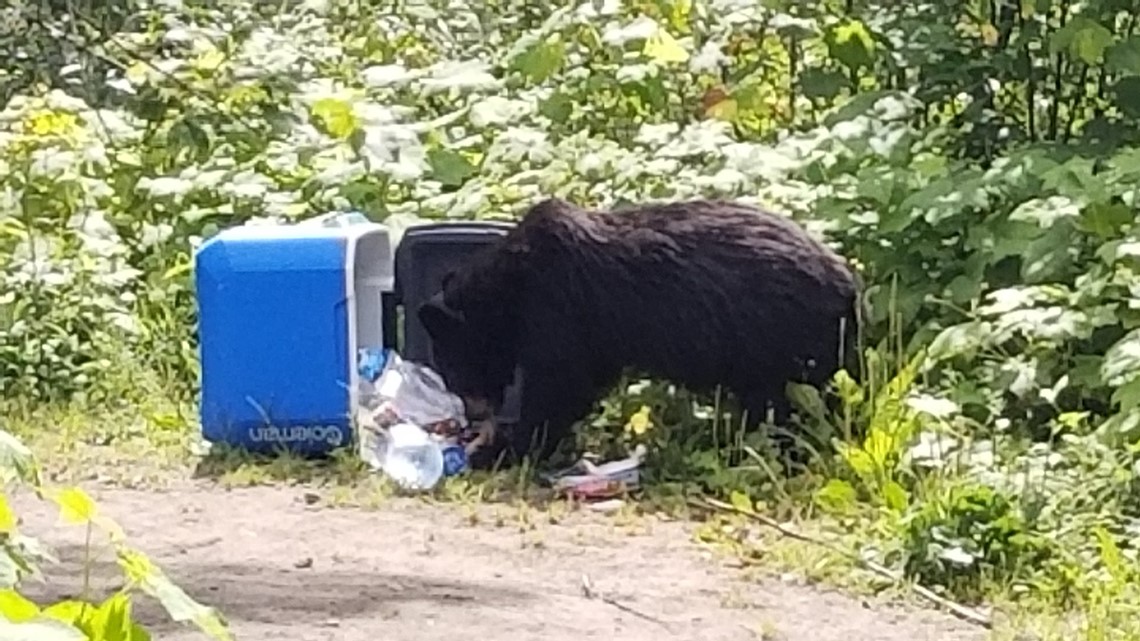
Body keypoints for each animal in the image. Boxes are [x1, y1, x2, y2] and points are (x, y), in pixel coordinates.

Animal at [418, 196, 864, 469]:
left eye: (450, 366)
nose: (472, 414)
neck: (512, 286)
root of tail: (850, 287)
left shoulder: (561, 307)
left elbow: (559, 387)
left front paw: (502, 450)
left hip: (779, 344)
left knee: (782, 409)